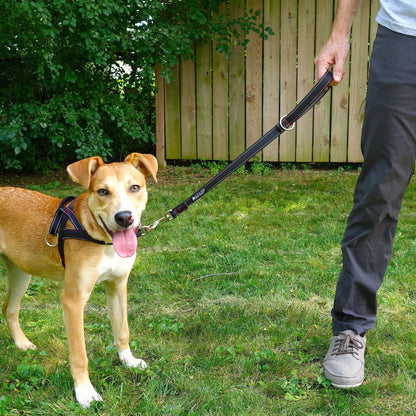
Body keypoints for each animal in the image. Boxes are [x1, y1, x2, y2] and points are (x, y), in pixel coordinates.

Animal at [0, 153, 158, 406]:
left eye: (135, 187)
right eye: (103, 191)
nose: (125, 218)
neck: (101, 239)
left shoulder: (117, 286)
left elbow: (122, 331)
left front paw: (129, 361)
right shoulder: (73, 300)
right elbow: (79, 354)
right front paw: (84, 392)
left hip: (21, 271)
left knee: (10, 308)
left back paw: (22, 343)